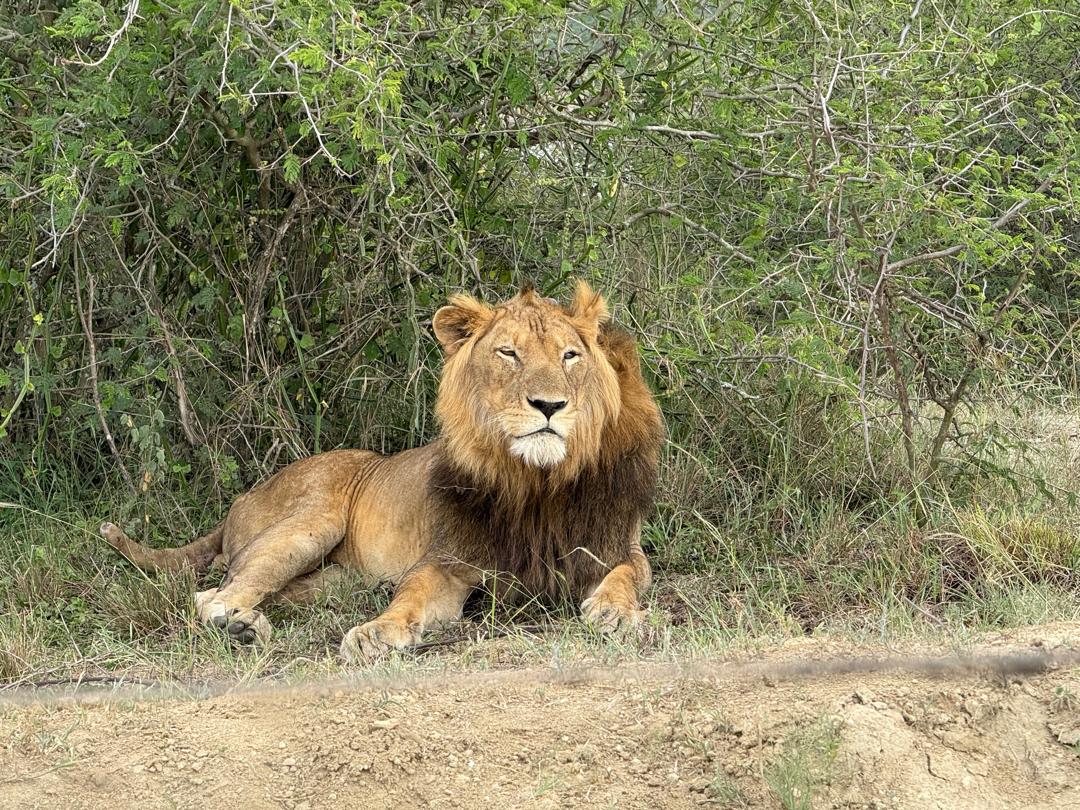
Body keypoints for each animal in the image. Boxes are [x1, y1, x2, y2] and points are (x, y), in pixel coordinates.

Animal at [100, 281, 664, 661]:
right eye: (509, 353)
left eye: (569, 355)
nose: (550, 405)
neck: (536, 483)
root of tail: (240, 500)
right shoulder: (448, 561)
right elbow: (410, 593)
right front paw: (376, 632)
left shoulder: (616, 545)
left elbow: (627, 575)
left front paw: (614, 612)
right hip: (310, 523)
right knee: (214, 594)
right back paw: (239, 626)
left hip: (336, 581)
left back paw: (251, 626)